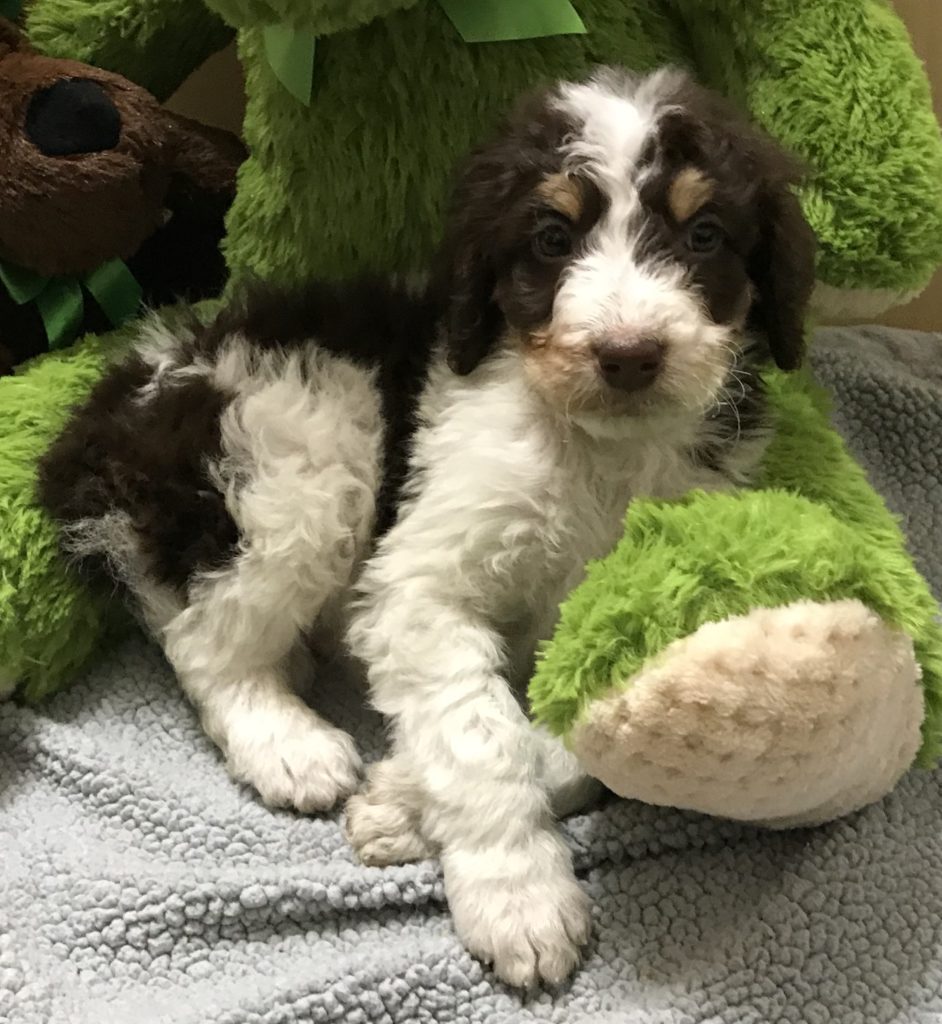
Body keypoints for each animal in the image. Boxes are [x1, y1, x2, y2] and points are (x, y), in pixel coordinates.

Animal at [38, 68, 815, 987]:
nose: (628, 355)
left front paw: (403, 808)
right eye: (552, 238)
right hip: (300, 456)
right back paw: (290, 745)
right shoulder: (419, 583)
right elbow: (480, 734)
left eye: (704, 234)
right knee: (205, 645)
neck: (597, 450)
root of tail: (120, 395)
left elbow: (572, 745)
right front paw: (519, 902)